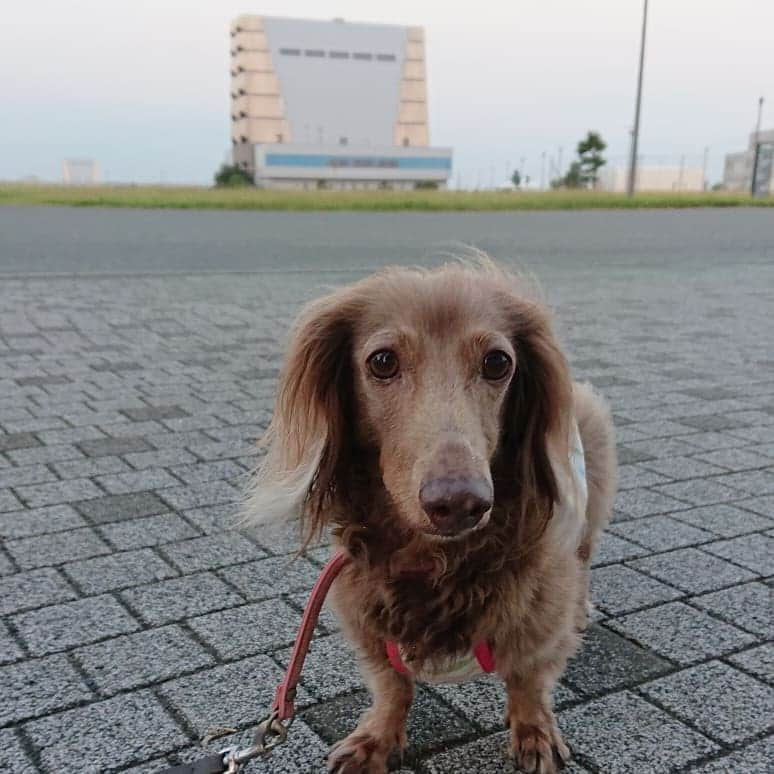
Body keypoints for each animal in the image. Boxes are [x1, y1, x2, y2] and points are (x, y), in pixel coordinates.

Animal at [249, 262, 620, 774]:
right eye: (382, 361)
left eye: (498, 363)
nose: (461, 503)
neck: (439, 563)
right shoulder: (367, 618)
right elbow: (393, 685)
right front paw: (376, 739)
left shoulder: (541, 618)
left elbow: (528, 680)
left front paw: (534, 731)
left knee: (584, 562)